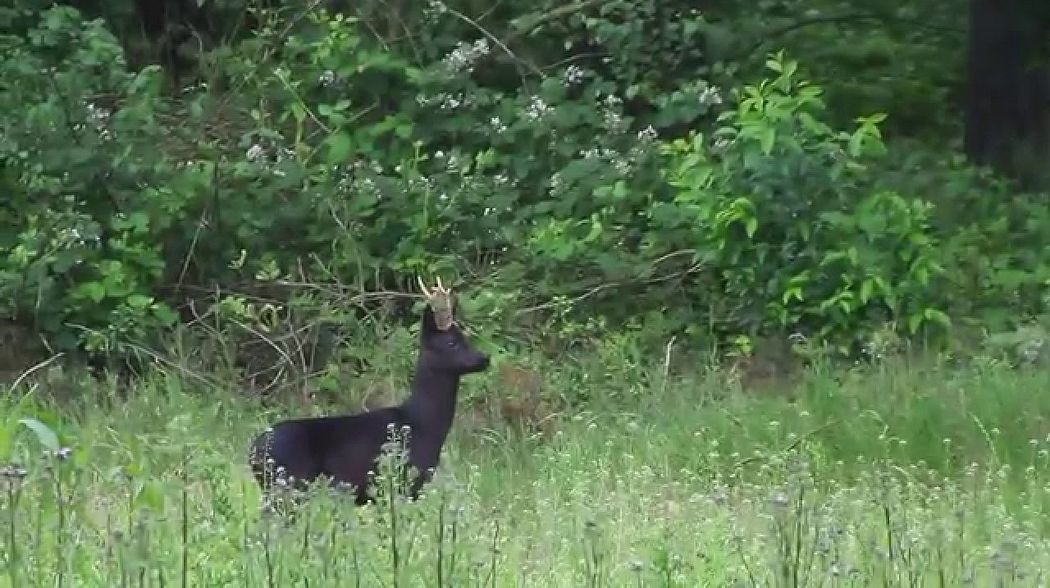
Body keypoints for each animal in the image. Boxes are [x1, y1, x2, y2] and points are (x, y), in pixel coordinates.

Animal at [247, 277, 489, 508]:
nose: (485, 358)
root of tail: (252, 453)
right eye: (452, 342)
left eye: (465, 337)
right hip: (290, 484)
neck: (422, 423)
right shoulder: (406, 482)